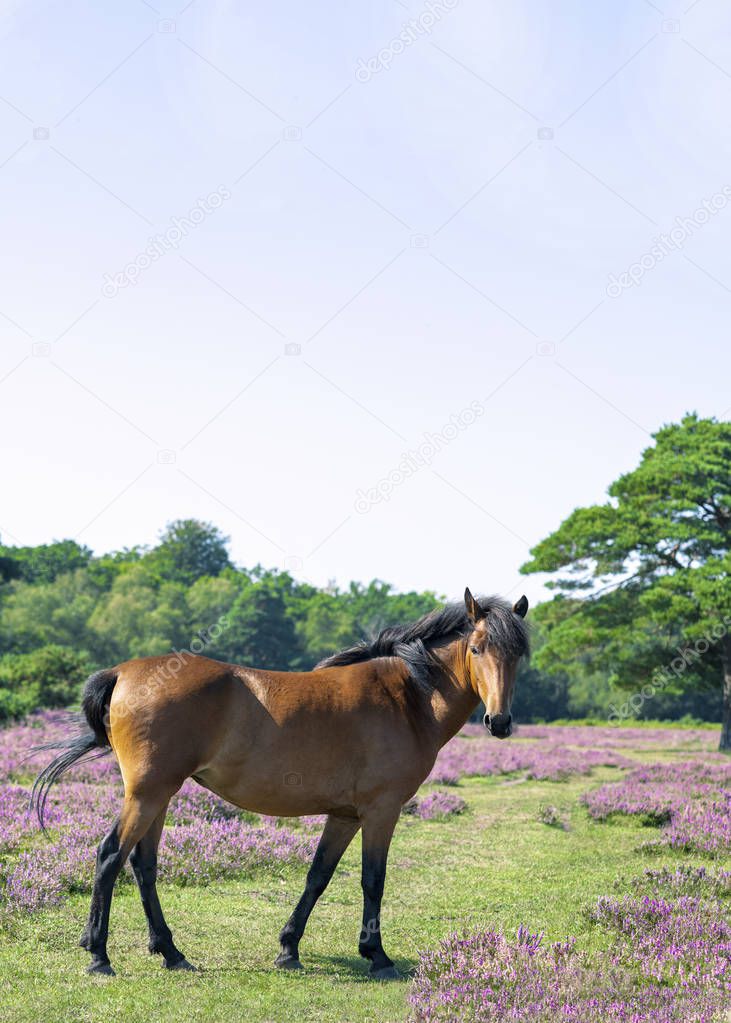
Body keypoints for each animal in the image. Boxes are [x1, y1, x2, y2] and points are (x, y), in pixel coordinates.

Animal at [32, 593, 527, 973]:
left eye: (517, 654)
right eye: (477, 648)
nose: (499, 721)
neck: (406, 697)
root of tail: (124, 672)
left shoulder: (345, 816)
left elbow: (318, 876)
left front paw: (289, 948)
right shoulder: (381, 812)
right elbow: (373, 880)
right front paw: (377, 956)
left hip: (160, 795)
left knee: (143, 865)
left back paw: (171, 952)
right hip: (148, 793)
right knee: (110, 855)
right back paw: (99, 955)